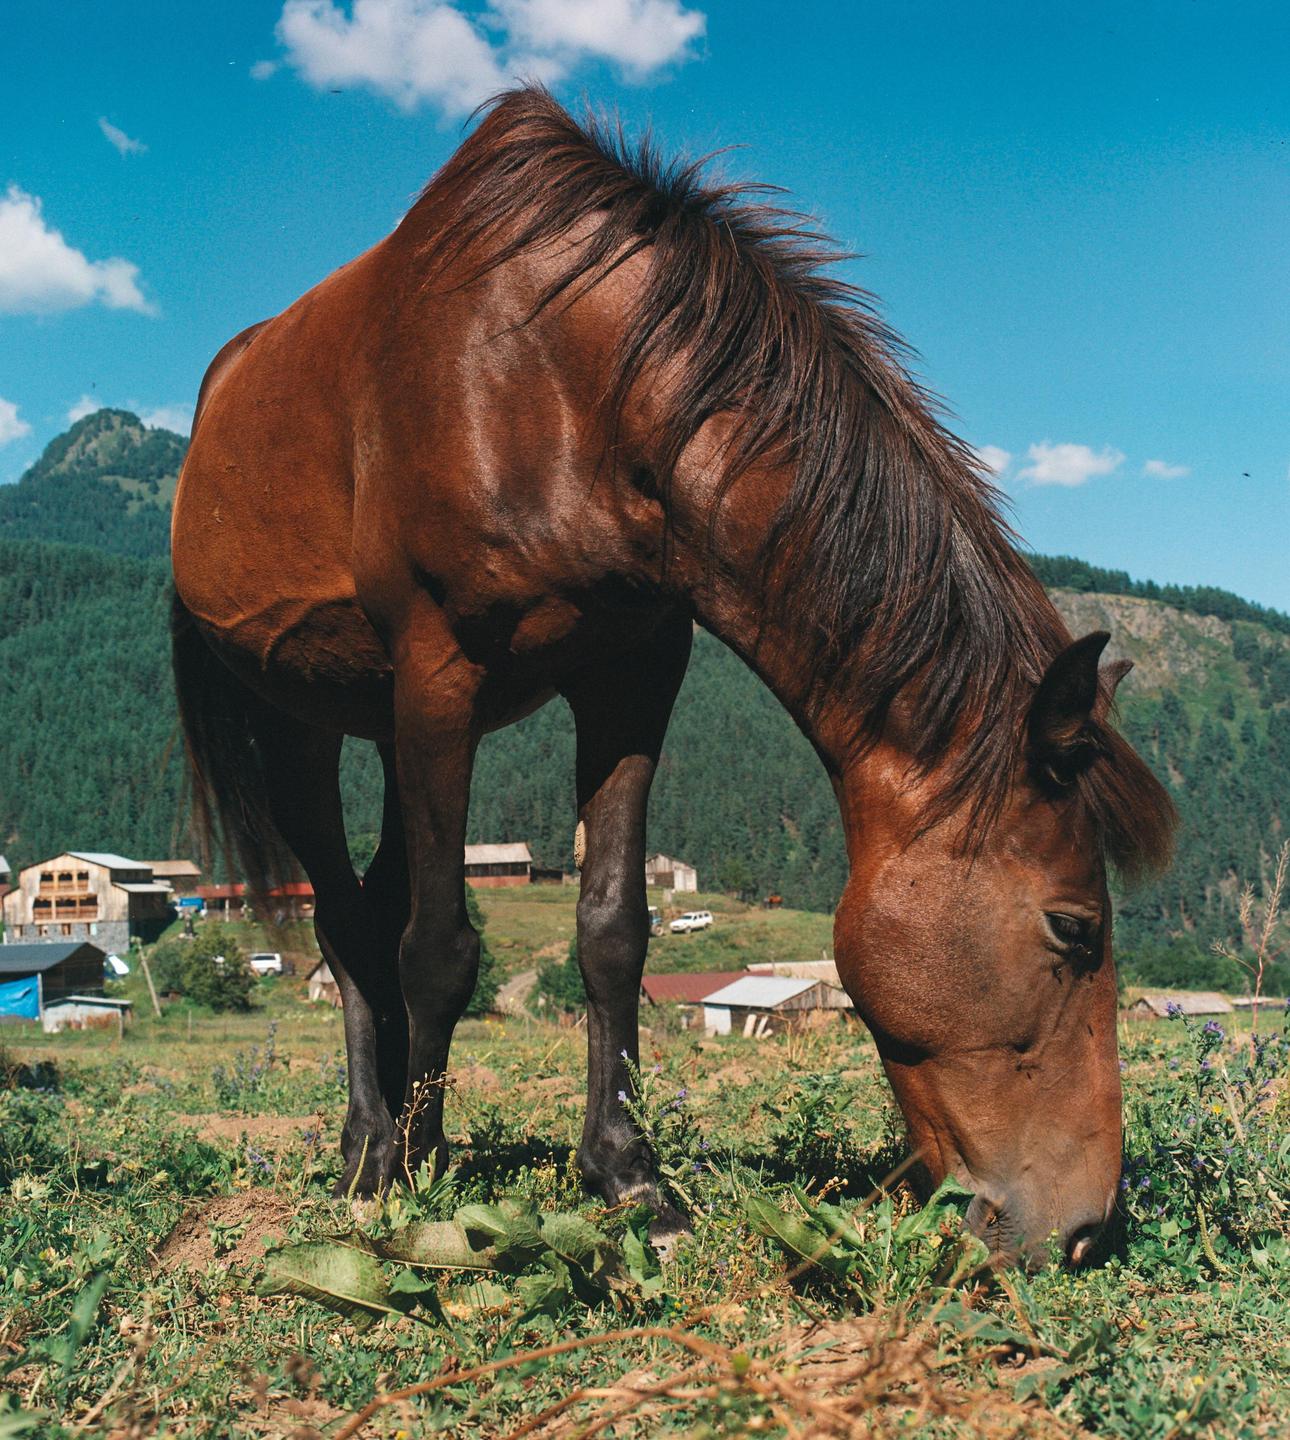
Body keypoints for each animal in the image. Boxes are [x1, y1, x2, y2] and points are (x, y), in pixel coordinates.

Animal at [171, 86, 1174, 1265]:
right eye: (1075, 928)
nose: (1087, 1226)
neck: (560, 380)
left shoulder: (631, 671)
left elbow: (613, 931)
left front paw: (629, 1176)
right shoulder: (440, 668)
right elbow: (439, 948)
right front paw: (420, 1178)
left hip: (386, 723)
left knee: (373, 904)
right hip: (304, 721)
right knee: (348, 923)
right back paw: (375, 1148)